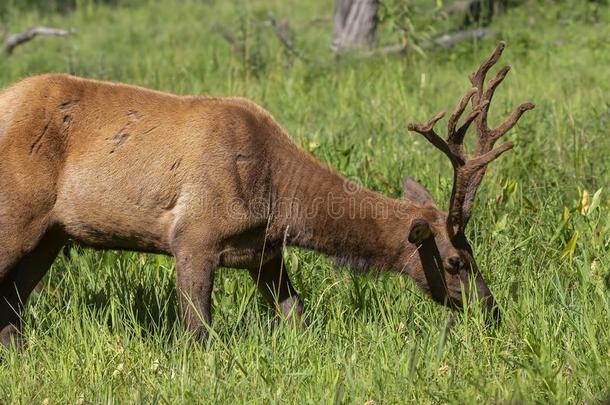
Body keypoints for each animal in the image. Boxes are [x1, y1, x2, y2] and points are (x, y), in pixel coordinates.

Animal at [0, 41, 532, 348]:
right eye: (455, 261)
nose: (492, 310)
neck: (279, 202)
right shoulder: (193, 235)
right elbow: (198, 333)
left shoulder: (266, 252)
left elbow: (296, 314)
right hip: (17, 214)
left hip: (51, 235)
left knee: (12, 303)